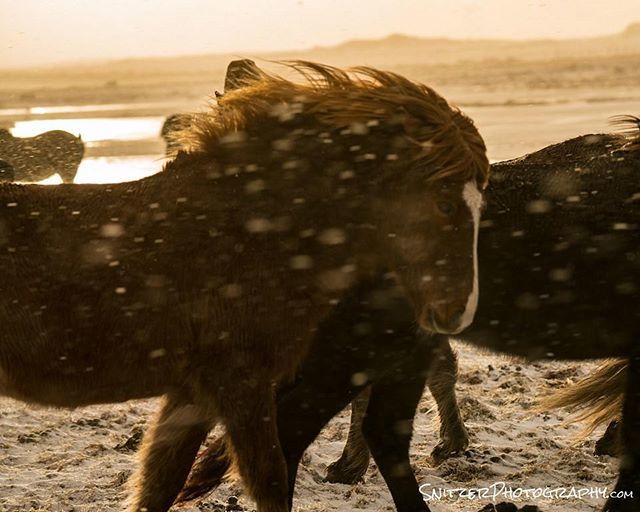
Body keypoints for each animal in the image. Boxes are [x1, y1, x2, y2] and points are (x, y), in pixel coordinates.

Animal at [1, 63, 490, 512]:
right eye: (446, 203)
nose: (457, 312)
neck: (245, 229)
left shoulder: (193, 397)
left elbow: (160, 486)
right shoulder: (243, 385)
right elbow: (272, 484)